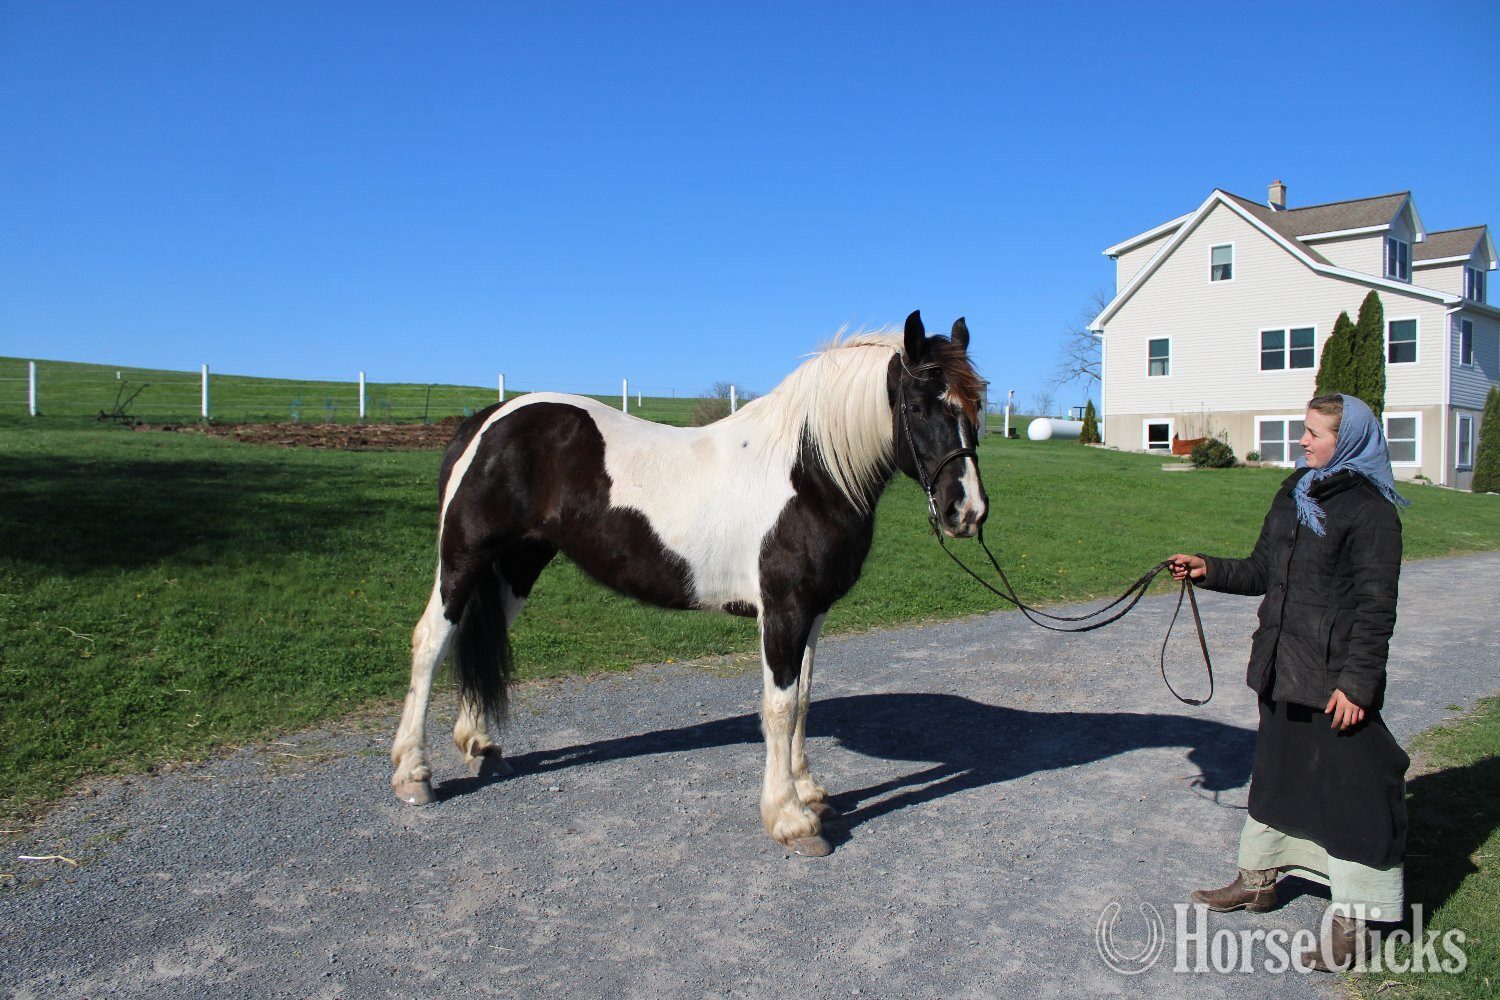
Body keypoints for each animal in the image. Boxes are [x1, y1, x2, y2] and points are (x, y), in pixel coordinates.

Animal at [390, 310, 989, 856]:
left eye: (977, 406)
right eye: (918, 406)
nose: (968, 512)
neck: (808, 473)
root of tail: (484, 422)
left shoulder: (814, 612)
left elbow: (803, 700)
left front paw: (811, 793)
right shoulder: (784, 610)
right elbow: (778, 707)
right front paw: (790, 820)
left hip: (519, 564)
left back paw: (480, 745)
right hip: (464, 557)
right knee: (432, 640)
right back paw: (413, 775)